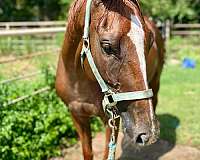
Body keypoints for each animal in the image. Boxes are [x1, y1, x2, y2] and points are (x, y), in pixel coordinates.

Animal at [55, 0, 165, 159]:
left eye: (150, 42)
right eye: (107, 46)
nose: (147, 132)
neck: (78, 83)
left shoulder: (112, 119)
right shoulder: (77, 117)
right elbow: (87, 152)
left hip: (156, 81)